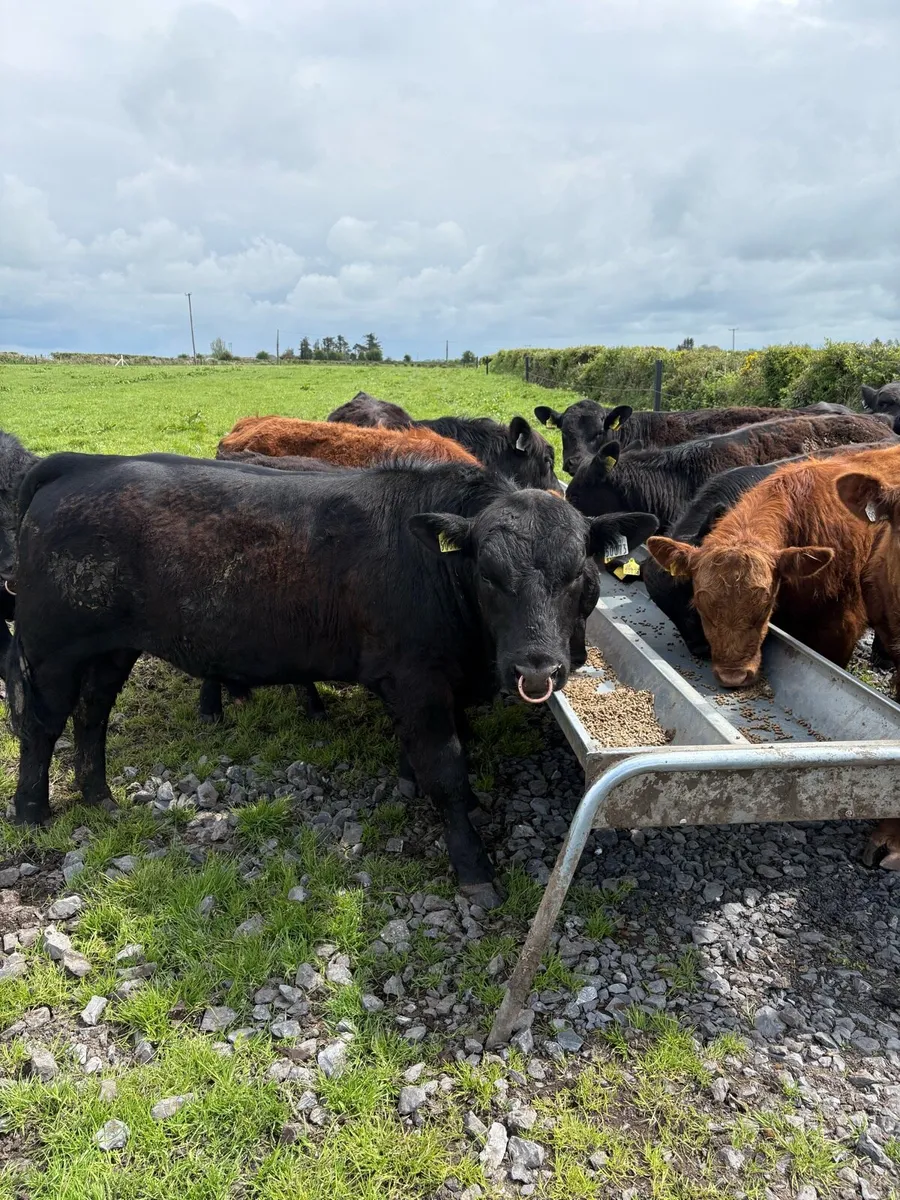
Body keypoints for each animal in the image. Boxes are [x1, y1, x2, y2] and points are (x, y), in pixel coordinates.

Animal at [7, 451, 656, 906]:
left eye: (578, 575)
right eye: (489, 575)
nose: (536, 667)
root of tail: (82, 464)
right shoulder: (418, 680)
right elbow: (446, 768)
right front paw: (472, 865)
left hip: (111, 648)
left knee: (92, 714)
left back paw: (99, 795)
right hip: (51, 651)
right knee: (41, 727)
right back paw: (32, 811)